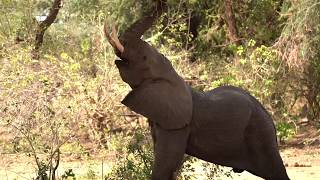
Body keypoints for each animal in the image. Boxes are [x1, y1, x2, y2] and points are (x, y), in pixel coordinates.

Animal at [104, 1, 290, 180]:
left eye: (143, 58)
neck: (172, 75)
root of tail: (271, 120)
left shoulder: (178, 127)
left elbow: (166, 165)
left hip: (260, 134)